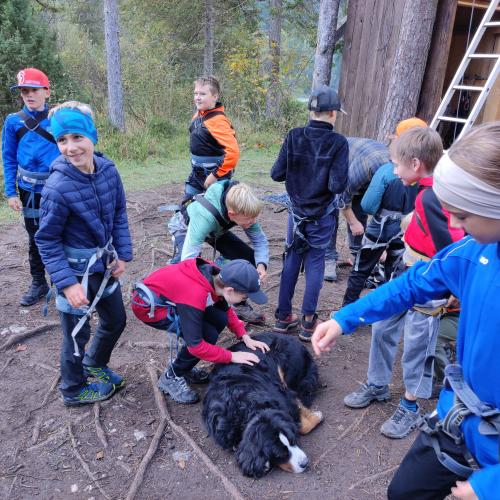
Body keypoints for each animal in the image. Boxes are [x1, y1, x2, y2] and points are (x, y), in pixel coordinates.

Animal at [201, 332, 322, 476]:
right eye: (279, 453)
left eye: (292, 440)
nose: (305, 463)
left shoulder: (284, 397)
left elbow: (302, 425)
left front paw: (316, 415)